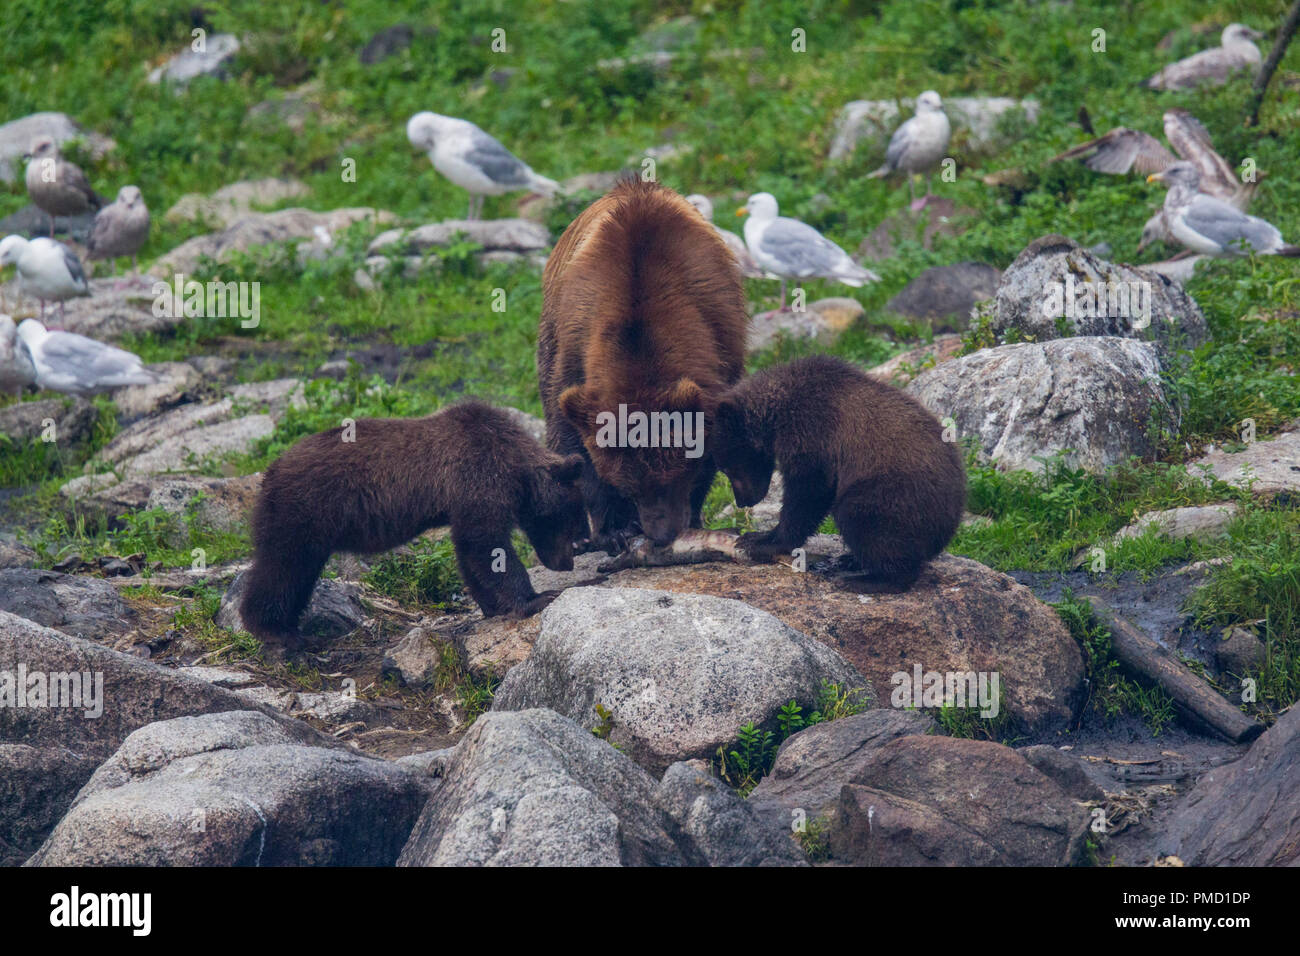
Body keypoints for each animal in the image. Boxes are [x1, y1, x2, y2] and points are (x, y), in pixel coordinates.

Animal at [535, 178, 743, 546]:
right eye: (628, 486)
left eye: (677, 474)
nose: (662, 534)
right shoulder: (576, 348)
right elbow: (575, 440)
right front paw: (614, 530)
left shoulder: (720, 333)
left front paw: (694, 512)